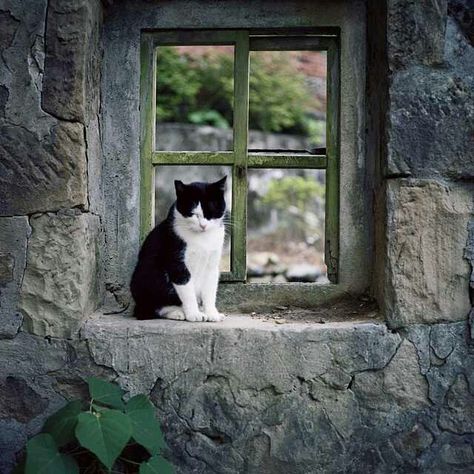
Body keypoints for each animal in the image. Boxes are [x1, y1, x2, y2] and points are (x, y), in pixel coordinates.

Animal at [129, 177, 227, 322]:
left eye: (211, 212)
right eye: (193, 214)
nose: (203, 225)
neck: (202, 238)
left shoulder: (212, 265)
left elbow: (210, 291)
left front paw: (212, 313)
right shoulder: (176, 262)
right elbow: (187, 291)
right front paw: (194, 314)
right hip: (147, 275)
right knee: (156, 306)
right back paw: (178, 312)